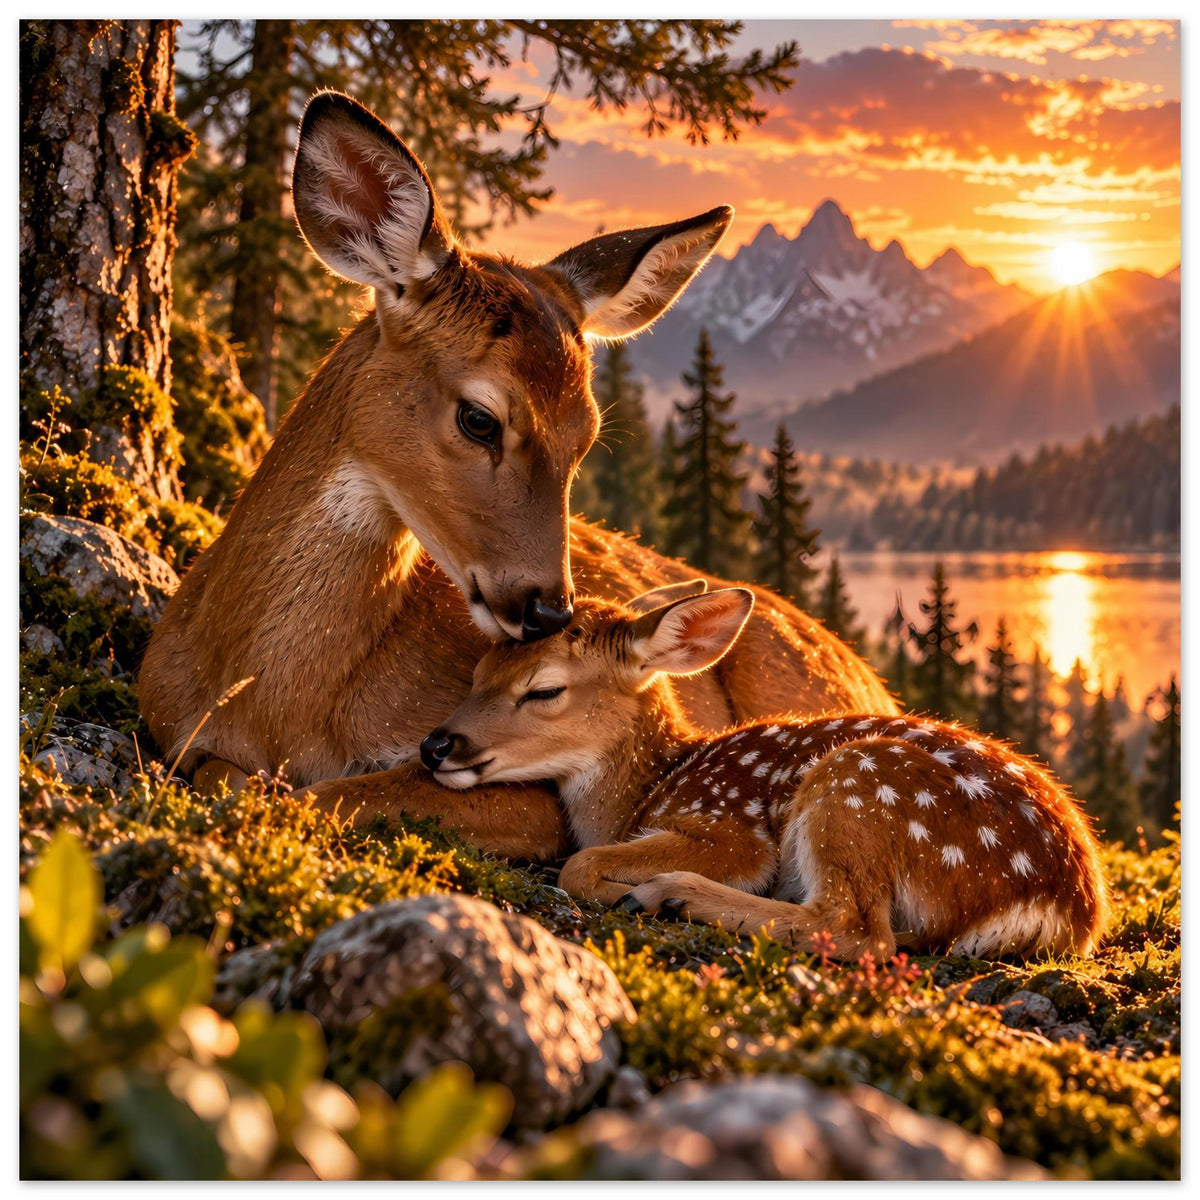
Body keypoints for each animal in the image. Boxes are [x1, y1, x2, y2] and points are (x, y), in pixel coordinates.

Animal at [138, 90, 898, 864]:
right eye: (479, 418)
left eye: (586, 435)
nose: (549, 610)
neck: (268, 703)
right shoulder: (167, 721)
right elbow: (232, 776)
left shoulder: (530, 795)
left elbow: (329, 793)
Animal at [421, 584, 1109, 960]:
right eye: (479, 670)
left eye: (544, 690)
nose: (435, 745)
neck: (648, 787)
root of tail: (1066, 908)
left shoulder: (730, 827)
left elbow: (580, 863)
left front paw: (627, 886)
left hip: (857, 785)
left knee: (856, 929)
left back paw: (671, 895)